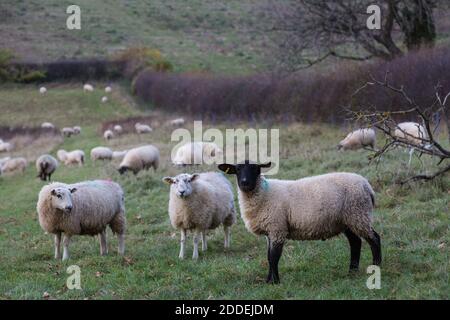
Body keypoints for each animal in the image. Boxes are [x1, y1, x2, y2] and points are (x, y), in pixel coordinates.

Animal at [220, 161, 382, 284]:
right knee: (355, 242)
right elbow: (268, 257)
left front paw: (275, 282)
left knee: (374, 239)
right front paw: (268, 280)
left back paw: (377, 266)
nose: (245, 183)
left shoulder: (278, 228)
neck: (264, 194)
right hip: (347, 220)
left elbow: (274, 257)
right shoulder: (270, 231)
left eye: (255, 168)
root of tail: (367, 185)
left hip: (358, 214)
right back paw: (352, 271)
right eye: (237, 169)